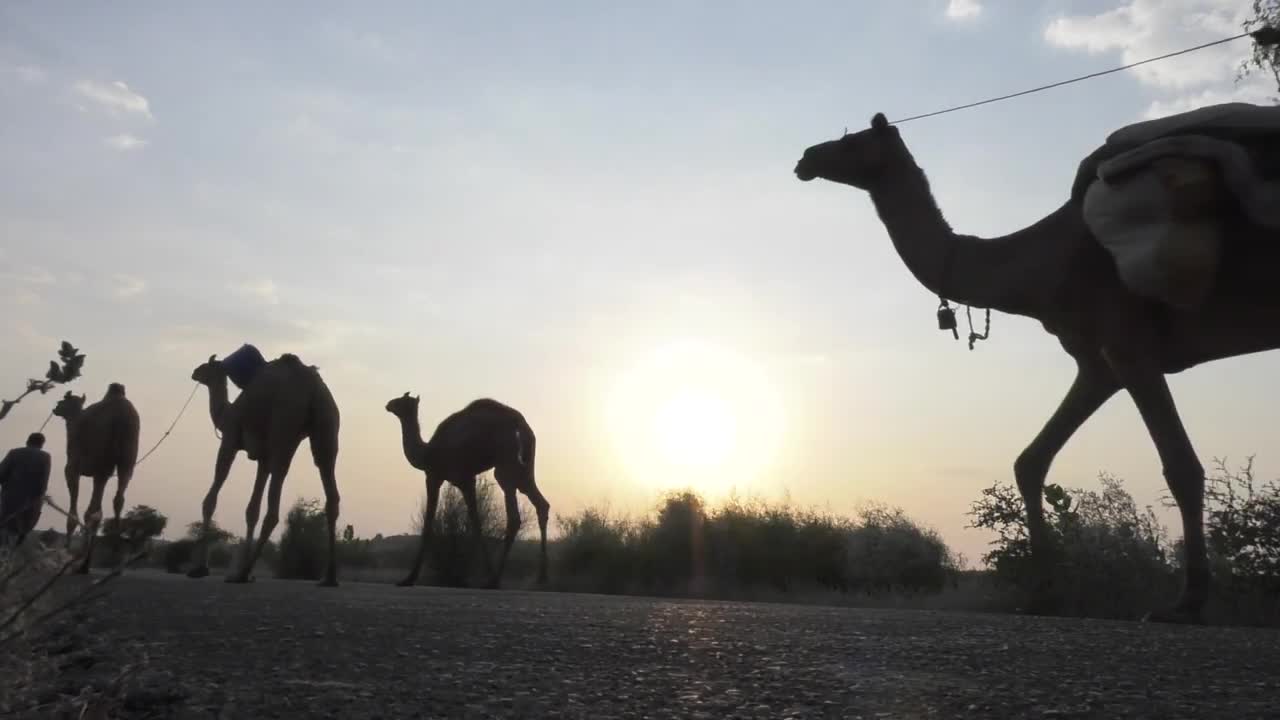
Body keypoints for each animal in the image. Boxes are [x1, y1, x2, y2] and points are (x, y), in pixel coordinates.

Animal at [51, 381, 140, 571]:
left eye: (63, 400)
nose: (55, 408)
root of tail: (122, 417)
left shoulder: (73, 468)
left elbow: (76, 511)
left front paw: (66, 551)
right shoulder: (101, 473)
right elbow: (94, 511)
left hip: (102, 460)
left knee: (94, 510)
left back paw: (84, 561)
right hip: (126, 460)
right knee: (118, 498)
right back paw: (114, 553)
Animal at [186, 351, 340, 584]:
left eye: (207, 366)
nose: (195, 372)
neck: (226, 412)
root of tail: (313, 387)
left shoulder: (230, 438)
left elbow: (211, 498)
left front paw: (199, 568)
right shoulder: (263, 458)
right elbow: (252, 510)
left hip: (284, 424)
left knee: (275, 505)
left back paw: (243, 572)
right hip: (326, 425)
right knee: (329, 485)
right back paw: (329, 577)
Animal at [386, 392, 552, 589]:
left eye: (401, 400)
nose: (388, 404)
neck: (427, 453)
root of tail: (521, 426)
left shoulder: (441, 477)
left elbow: (432, 522)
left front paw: (409, 578)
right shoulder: (465, 480)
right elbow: (476, 521)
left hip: (506, 464)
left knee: (514, 517)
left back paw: (494, 580)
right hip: (525, 469)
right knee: (541, 504)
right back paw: (541, 577)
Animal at [788, 109, 1280, 620]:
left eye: (851, 142)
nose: (805, 158)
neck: (1042, 264)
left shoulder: (1129, 343)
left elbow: (1181, 467)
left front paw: (1185, 603)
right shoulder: (1098, 363)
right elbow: (1031, 461)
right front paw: (1044, 593)